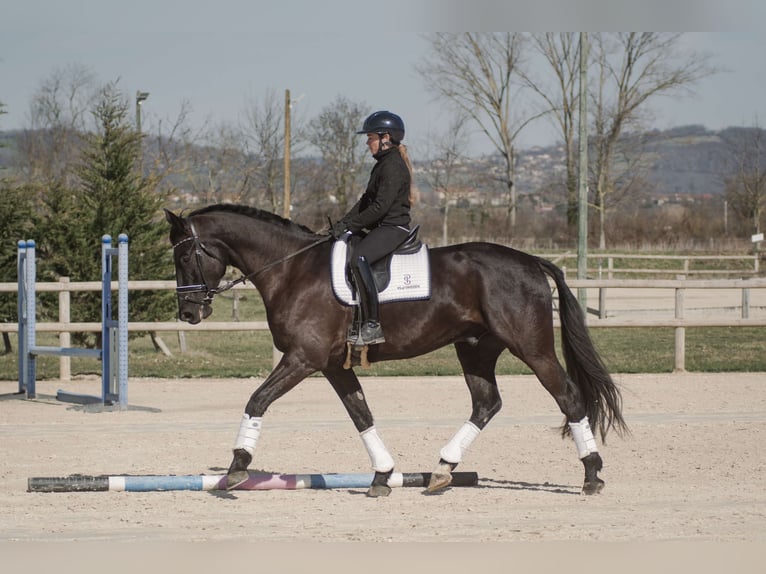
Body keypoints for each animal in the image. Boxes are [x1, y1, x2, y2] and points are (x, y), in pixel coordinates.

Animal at [165, 207, 628, 500]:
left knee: (568, 397)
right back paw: (442, 470)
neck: (291, 269)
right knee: (487, 403)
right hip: (475, 349)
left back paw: (591, 475)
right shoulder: (331, 365)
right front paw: (383, 475)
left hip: (531, 347)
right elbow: (361, 415)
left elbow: (256, 399)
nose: (189, 312)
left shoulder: (303, 359)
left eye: (186, 253)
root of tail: (531, 261)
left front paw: (237, 467)